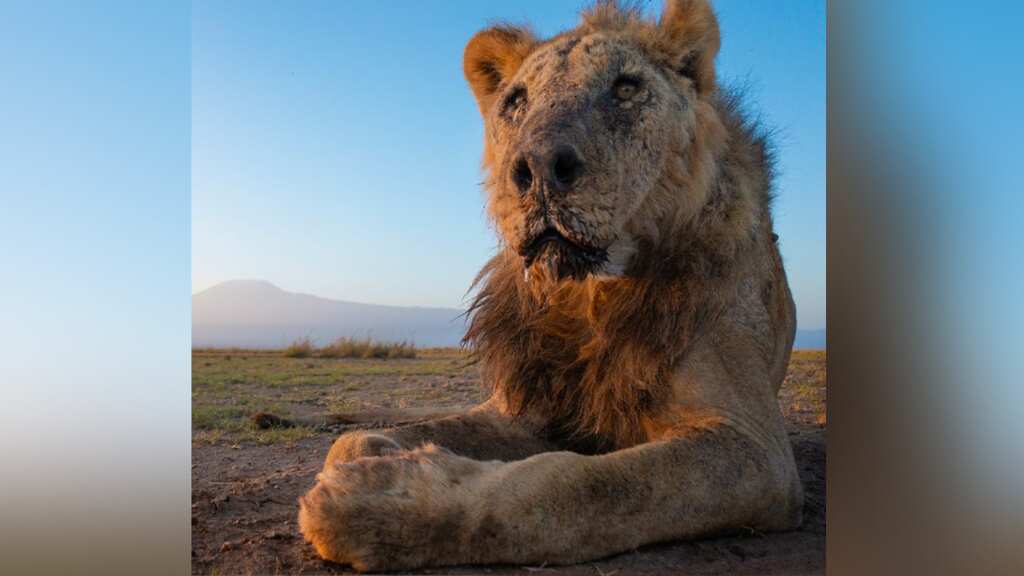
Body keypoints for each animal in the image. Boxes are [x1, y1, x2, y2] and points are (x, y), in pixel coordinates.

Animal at [297, 0, 803, 571]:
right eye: (516, 101)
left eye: (625, 87)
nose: (538, 167)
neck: (586, 295)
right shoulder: (527, 406)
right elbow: (355, 441)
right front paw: (380, 451)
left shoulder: (755, 448)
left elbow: (576, 485)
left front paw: (381, 500)